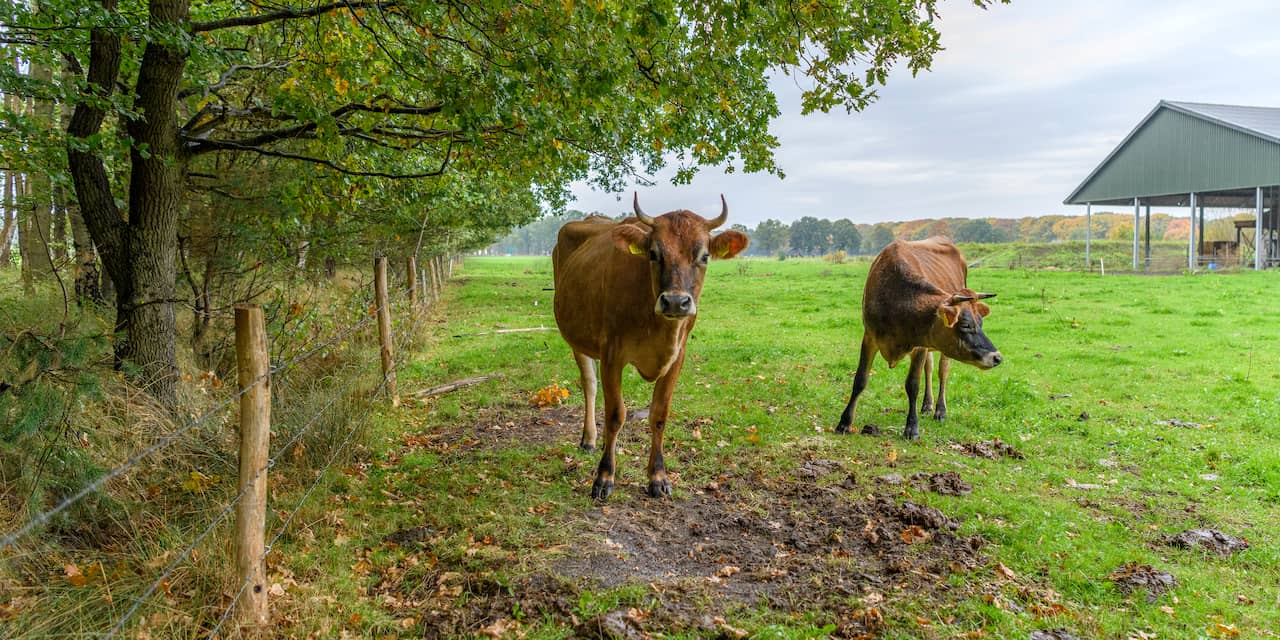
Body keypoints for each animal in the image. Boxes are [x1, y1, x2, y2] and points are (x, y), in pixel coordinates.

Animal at [552, 193, 747, 499]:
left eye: (704, 256)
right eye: (654, 254)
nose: (676, 302)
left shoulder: (677, 357)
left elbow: (659, 414)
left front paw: (658, 476)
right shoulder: (612, 353)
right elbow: (615, 414)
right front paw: (604, 476)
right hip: (577, 338)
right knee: (590, 384)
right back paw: (589, 438)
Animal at [834, 236, 1003, 440]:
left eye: (981, 322)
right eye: (965, 325)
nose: (997, 357)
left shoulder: (920, 345)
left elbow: (913, 384)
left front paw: (912, 428)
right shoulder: (870, 337)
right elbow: (860, 379)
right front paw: (844, 423)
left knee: (942, 371)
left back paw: (939, 410)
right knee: (929, 369)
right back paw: (927, 405)